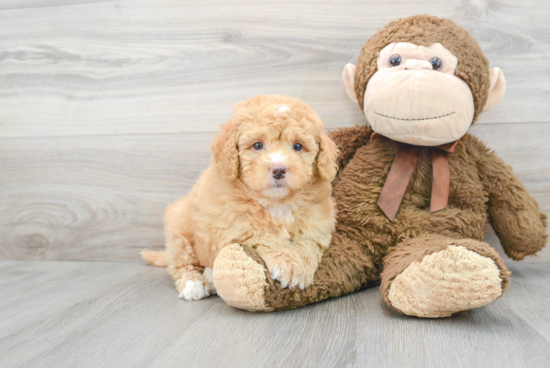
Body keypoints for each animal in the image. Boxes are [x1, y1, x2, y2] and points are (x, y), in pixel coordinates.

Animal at [141, 95, 340, 302]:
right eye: (258, 145)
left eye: (298, 146)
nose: (279, 169)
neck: (276, 203)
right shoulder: (235, 228)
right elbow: (265, 236)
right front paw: (288, 263)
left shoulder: (318, 224)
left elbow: (307, 243)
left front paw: (301, 266)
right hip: (179, 228)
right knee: (182, 262)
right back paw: (193, 283)